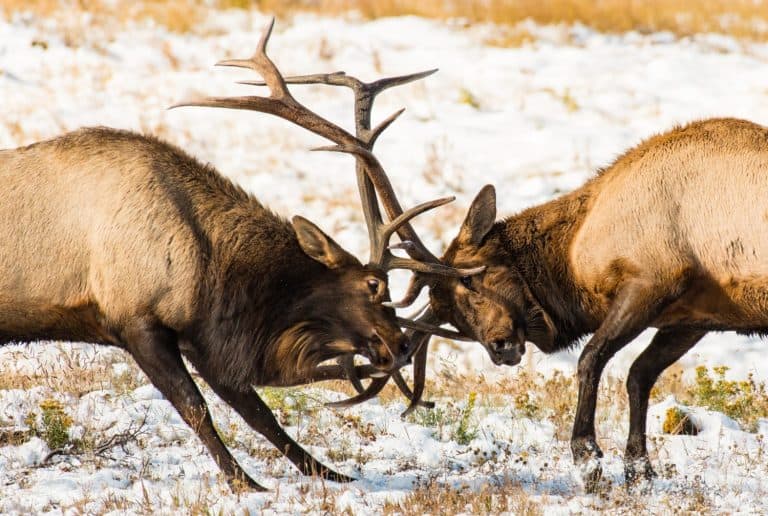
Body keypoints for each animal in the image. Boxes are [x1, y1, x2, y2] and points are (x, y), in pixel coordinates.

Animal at [0, 19, 469, 491]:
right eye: (374, 284)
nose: (402, 345)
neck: (210, 269)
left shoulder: (201, 339)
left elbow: (260, 415)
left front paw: (331, 474)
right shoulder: (136, 319)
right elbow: (198, 410)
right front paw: (245, 483)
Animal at [388, 116, 768, 491]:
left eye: (469, 279)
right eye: (451, 316)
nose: (500, 348)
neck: (576, 254)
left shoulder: (653, 282)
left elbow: (591, 360)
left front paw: (587, 459)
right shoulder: (690, 318)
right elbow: (639, 375)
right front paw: (638, 470)